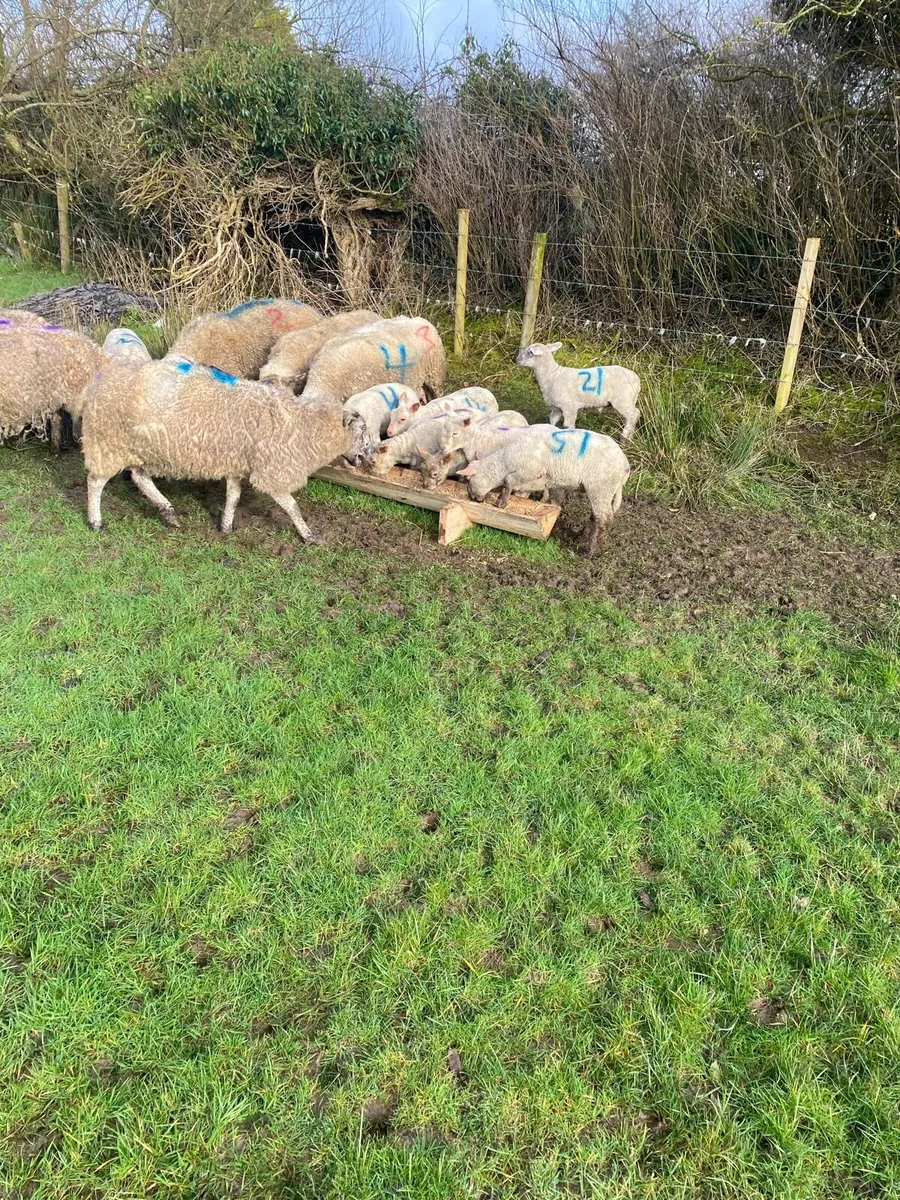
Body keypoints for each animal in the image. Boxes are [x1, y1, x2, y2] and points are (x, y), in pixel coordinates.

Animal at [80, 356, 369, 541]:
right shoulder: (271, 471)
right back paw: (96, 522)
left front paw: (226, 526)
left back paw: (169, 513)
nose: (366, 457)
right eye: (362, 429)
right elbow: (291, 506)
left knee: (140, 477)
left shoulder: (236, 463)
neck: (306, 426)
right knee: (95, 482)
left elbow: (233, 497)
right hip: (107, 443)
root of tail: (99, 382)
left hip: (139, 448)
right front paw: (308, 535)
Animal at [457, 425, 631, 556]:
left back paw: (591, 551)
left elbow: (508, 480)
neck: (508, 459)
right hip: (602, 490)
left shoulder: (529, 470)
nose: (472, 498)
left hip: (600, 487)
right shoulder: (545, 479)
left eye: (468, 480)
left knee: (604, 519)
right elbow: (552, 498)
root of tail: (625, 466)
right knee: (596, 516)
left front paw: (501, 502)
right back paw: (582, 537)